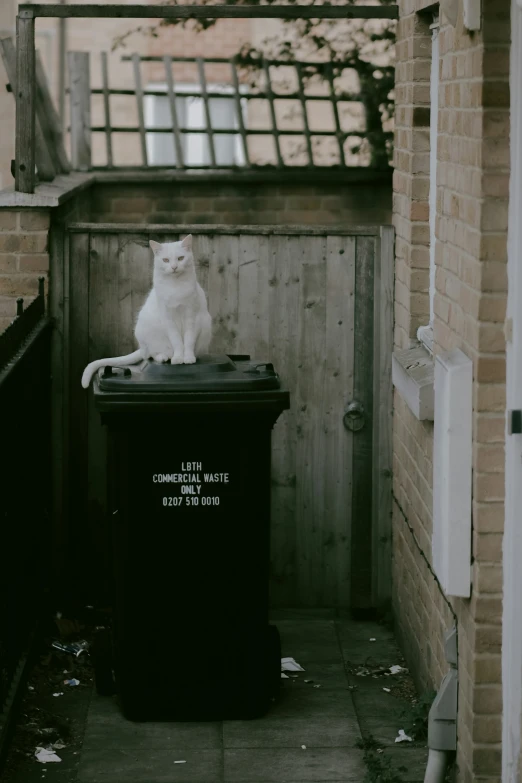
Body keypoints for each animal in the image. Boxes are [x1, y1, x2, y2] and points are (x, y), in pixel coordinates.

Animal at [81, 234, 211, 390]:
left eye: (180, 258)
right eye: (166, 260)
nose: (174, 267)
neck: (175, 286)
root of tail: (142, 347)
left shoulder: (191, 317)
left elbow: (189, 340)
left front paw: (188, 357)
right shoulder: (168, 319)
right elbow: (177, 341)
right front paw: (178, 358)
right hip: (146, 330)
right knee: (150, 354)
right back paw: (164, 356)